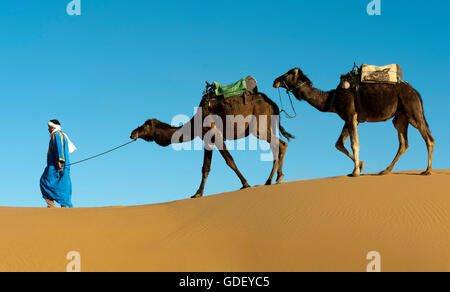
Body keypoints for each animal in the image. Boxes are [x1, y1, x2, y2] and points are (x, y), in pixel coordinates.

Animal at [129, 88, 296, 198]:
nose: (132, 133)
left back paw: (275, 178)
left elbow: (229, 161)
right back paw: (272, 179)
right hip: (265, 125)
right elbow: (205, 168)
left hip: (258, 126)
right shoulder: (207, 141)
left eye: (144, 126)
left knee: (281, 144)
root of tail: (273, 103)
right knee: (278, 145)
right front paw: (197, 193)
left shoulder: (215, 136)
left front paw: (245, 184)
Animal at [272, 68, 434, 177]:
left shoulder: (350, 116)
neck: (332, 100)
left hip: (413, 110)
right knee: (404, 143)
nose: (275, 81)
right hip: (401, 117)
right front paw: (360, 165)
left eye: (288, 73)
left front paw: (355, 171)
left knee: (428, 139)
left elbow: (354, 144)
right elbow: (339, 144)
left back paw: (427, 171)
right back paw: (385, 170)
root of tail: (415, 92)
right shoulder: (349, 119)